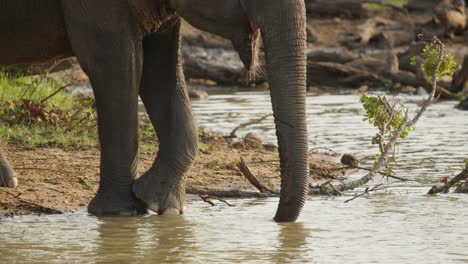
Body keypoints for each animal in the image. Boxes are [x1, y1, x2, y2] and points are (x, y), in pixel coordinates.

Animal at [0, 0, 308, 222]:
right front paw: (119, 212)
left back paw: (7, 180)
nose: (276, 219)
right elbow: (115, 66)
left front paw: (162, 205)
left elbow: (160, 71)